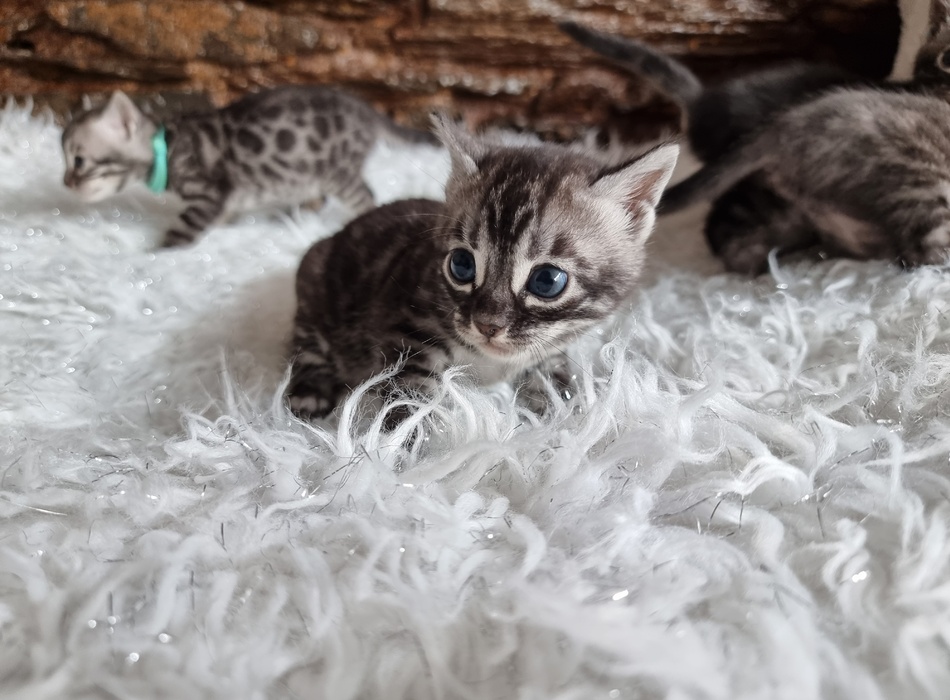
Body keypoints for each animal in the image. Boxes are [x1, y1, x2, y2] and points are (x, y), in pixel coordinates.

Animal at [61, 86, 440, 247]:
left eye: (79, 161)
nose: (66, 183)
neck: (168, 148)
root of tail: (365, 110)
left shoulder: (208, 195)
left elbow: (182, 231)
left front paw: (156, 253)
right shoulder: (221, 201)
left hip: (338, 172)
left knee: (365, 193)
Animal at [286, 119, 680, 422]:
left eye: (547, 281)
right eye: (461, 265)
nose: (488, 325)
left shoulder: (547, 347)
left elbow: (553, 372)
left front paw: (569, 413)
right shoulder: (403, 324)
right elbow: (410, 388)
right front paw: (404, 440)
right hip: (313, 280)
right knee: (307, 345)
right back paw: (309, 391)